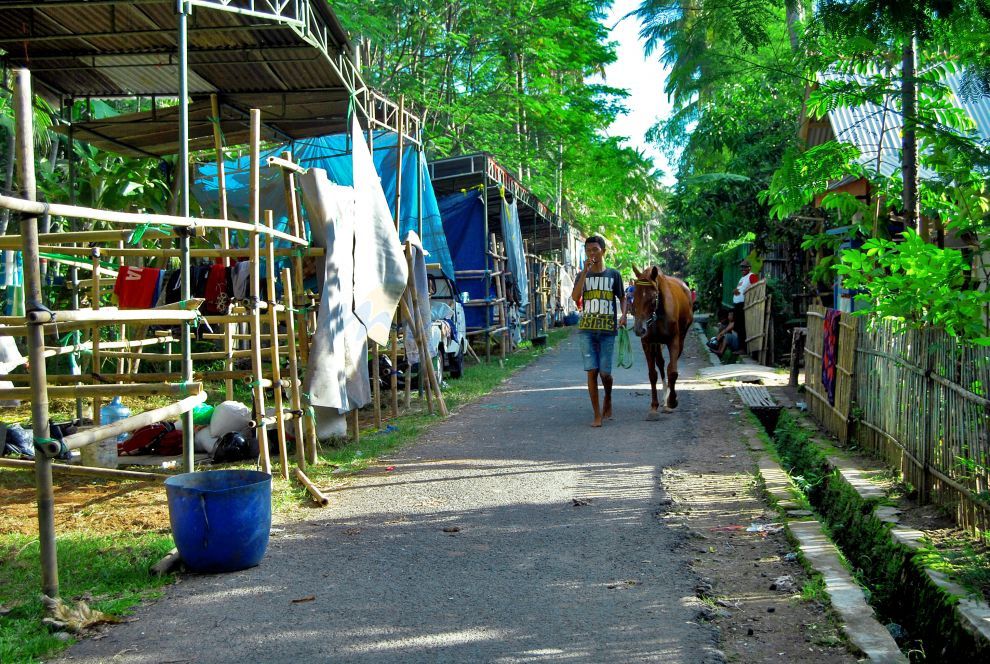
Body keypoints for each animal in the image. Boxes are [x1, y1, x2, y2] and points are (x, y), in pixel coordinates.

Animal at [632, 264, 692, 416]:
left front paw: (672, 400)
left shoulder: (674, 341)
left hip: (681, 337)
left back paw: (668, 399)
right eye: (634, 296)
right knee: (660, 363)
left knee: (670, 365)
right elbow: (653, 374)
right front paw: (654, 405)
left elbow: (673, 371)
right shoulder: (647, 342)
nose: (639, 329)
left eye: (653, 298)